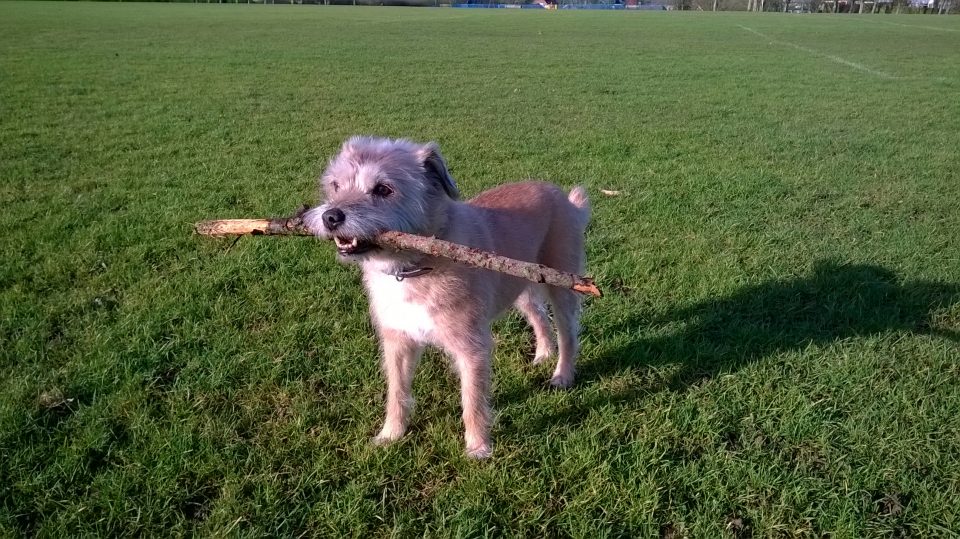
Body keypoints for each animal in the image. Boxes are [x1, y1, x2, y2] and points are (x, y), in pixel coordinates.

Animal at [304, 137, 588, 458]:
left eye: (383, 189)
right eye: (336, 185)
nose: (330, 216)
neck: (412, 267)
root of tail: (563, 198)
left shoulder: (471, 348)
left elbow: (472, 400)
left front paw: (478, 448)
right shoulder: (397, 342)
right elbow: (397, 392)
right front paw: (390, 435)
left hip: (562, 285)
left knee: (568, 333)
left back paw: (563, 375)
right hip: (521, 285)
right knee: (538, 315)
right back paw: (543, 353)